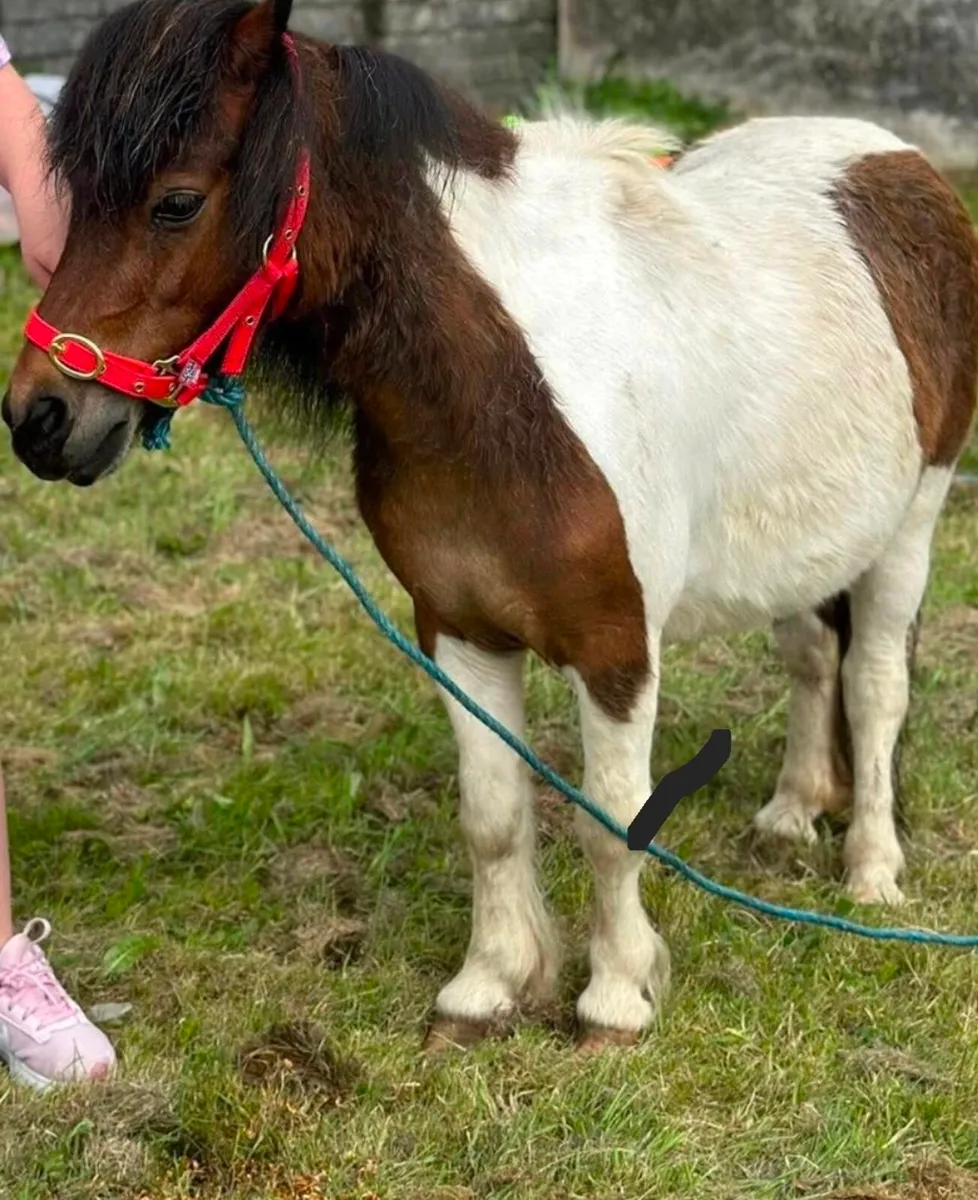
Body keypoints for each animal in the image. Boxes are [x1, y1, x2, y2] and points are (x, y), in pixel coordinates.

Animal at [4, 0, 978, 1051]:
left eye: (176, 203)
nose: (40, 419)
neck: (501, 383)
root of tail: (898, 160)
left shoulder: (616, 648)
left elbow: (612, 822)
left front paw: (616, 999)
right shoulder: (458, 632)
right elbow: (493, 816)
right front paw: (490, 985)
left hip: (910, 527)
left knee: (876, 685)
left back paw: (871, 869)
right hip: (805, 545)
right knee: (810, 655)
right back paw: (793, 812)